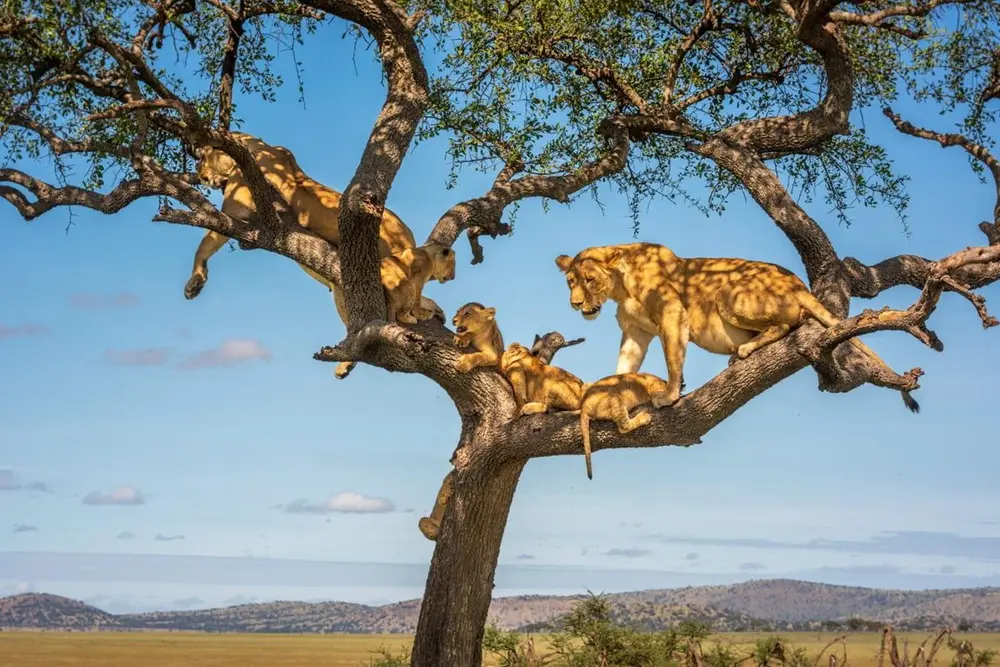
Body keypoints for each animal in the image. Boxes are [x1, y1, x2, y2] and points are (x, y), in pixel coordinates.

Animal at [555, 242, 919, 412]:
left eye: (589, 279)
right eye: (571, 282)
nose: (575, 303)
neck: (620, 287)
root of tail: (800, 285)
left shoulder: (673, 314)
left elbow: (673, 359)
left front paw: (670, 396)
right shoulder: (636, 332)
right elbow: (623, 366)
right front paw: (608, 391)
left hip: (727, 293)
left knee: (786, 324)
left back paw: (745, 349)